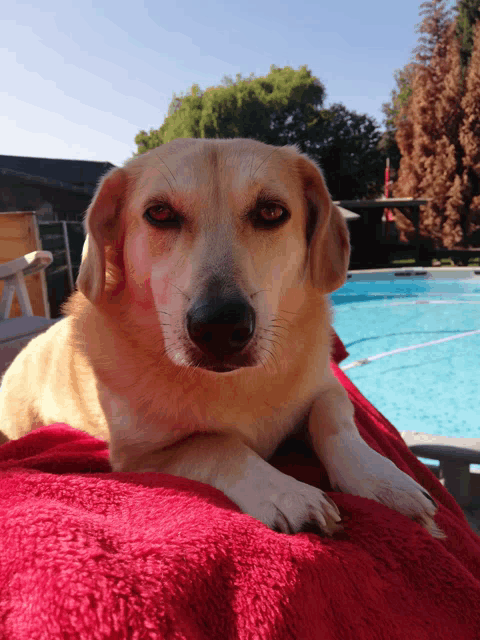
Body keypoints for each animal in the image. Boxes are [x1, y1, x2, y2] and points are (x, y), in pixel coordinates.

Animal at [0, 138, 442, 536]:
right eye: (159, 213)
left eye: (271, 211)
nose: (220, 327)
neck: (233, 384)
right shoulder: (139, 457)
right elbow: (215, 444)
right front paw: (287, 492)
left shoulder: (327, 388)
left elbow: (332, 421)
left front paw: (382, 480)